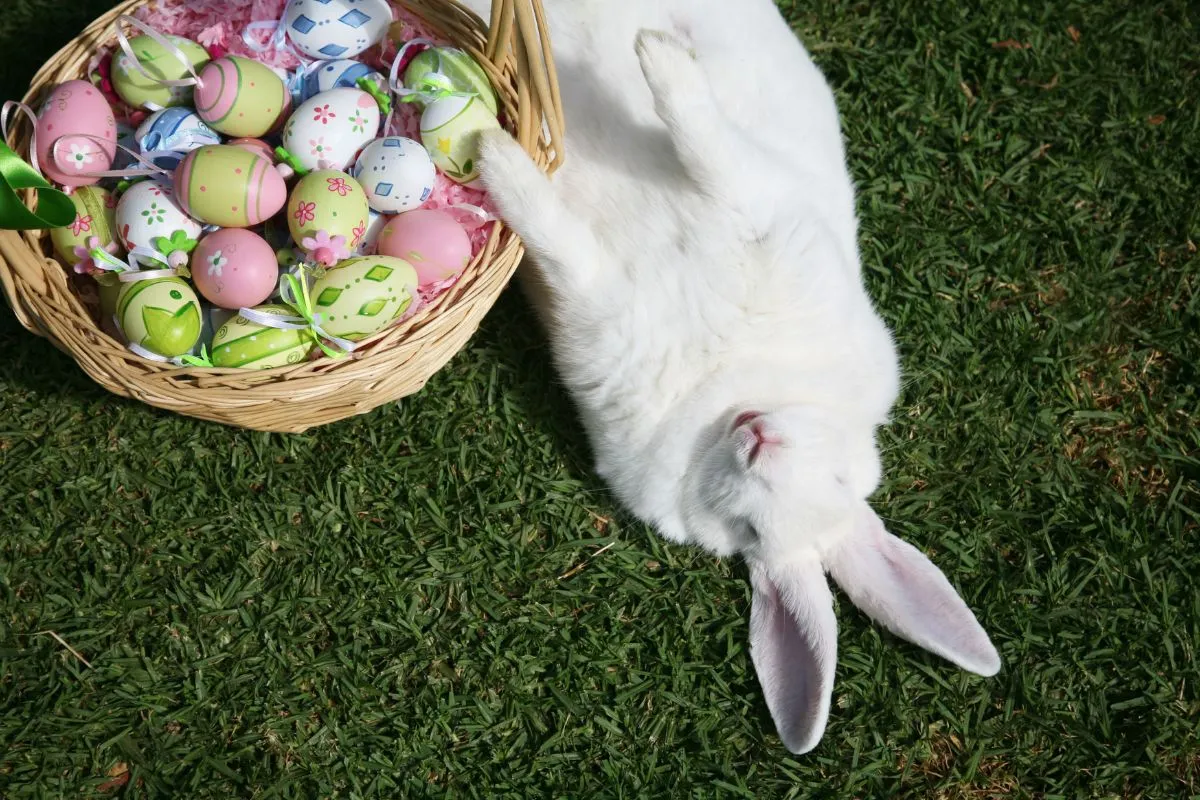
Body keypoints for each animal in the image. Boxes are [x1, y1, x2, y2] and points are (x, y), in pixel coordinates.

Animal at [459, 0, 1002, 754]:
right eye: (843, 478)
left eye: (748, 530)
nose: (758, 439)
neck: (726, 381)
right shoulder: (760, 208)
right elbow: (702, 138)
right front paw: (656, 53)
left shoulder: (599, 311)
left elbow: (558, 238)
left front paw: (496, 160)